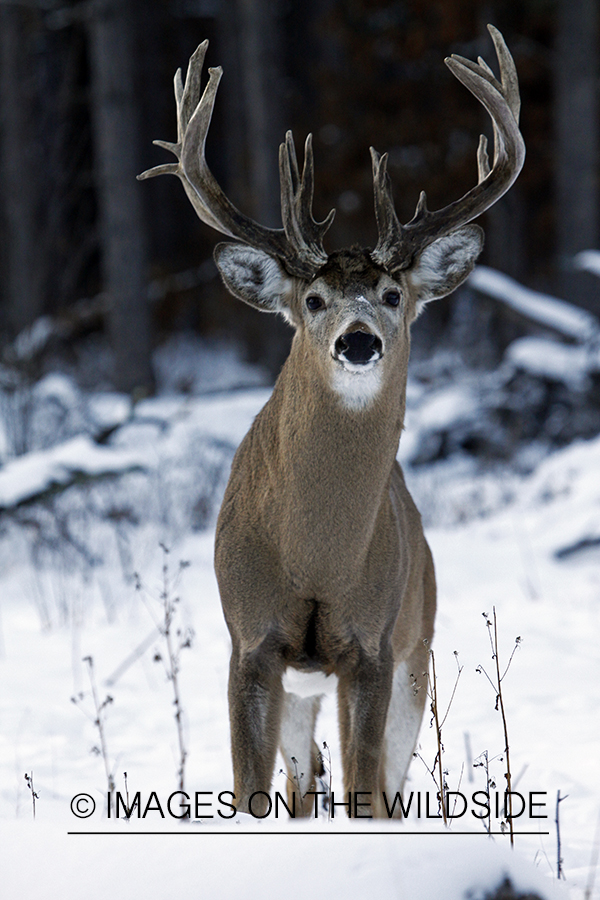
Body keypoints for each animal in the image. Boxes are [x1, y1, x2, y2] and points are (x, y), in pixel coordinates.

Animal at [138, 26, 524, 816]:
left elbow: (367, 791)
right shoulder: (249, 643)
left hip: (416, 651)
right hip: (303, 690)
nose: (358, 341)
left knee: (377, 786)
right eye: (313, 300)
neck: (314, 553)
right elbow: (249, 794)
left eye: (392, 294)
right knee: (300, 781)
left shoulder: (371, 647)